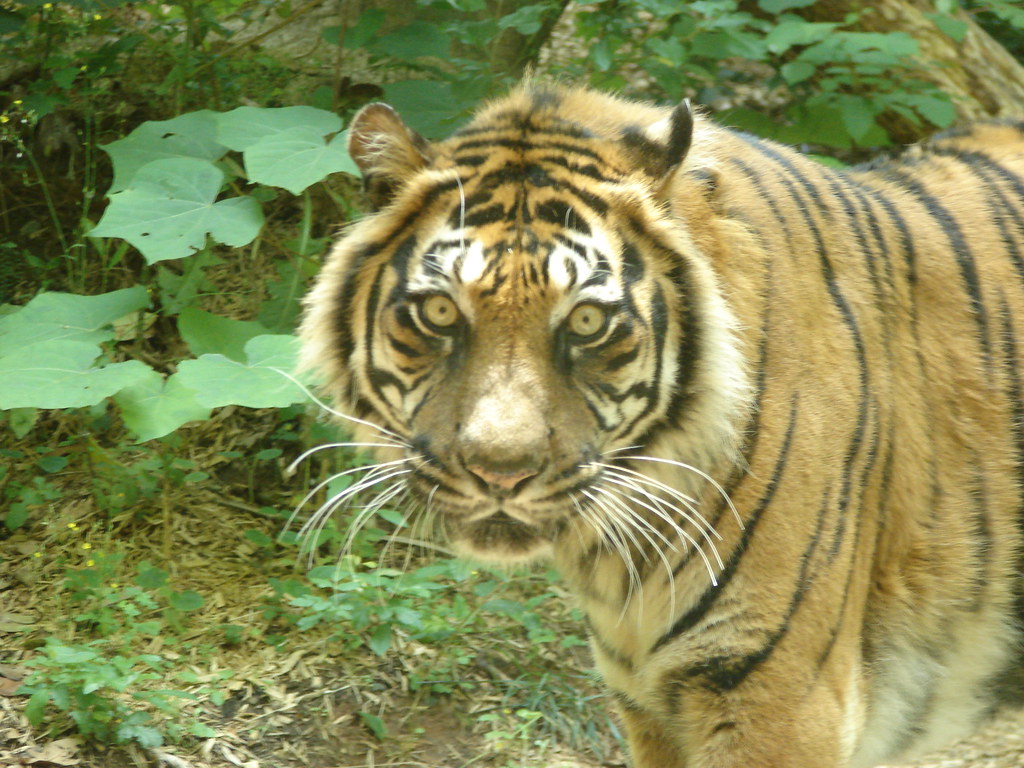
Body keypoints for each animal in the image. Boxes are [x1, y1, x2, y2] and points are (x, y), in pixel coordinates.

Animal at [297, 82, 1024, 768]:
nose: (500, 471)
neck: (618, 558)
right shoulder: (648, 701)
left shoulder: (778, 696)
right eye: (441, 312)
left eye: (587, 321)